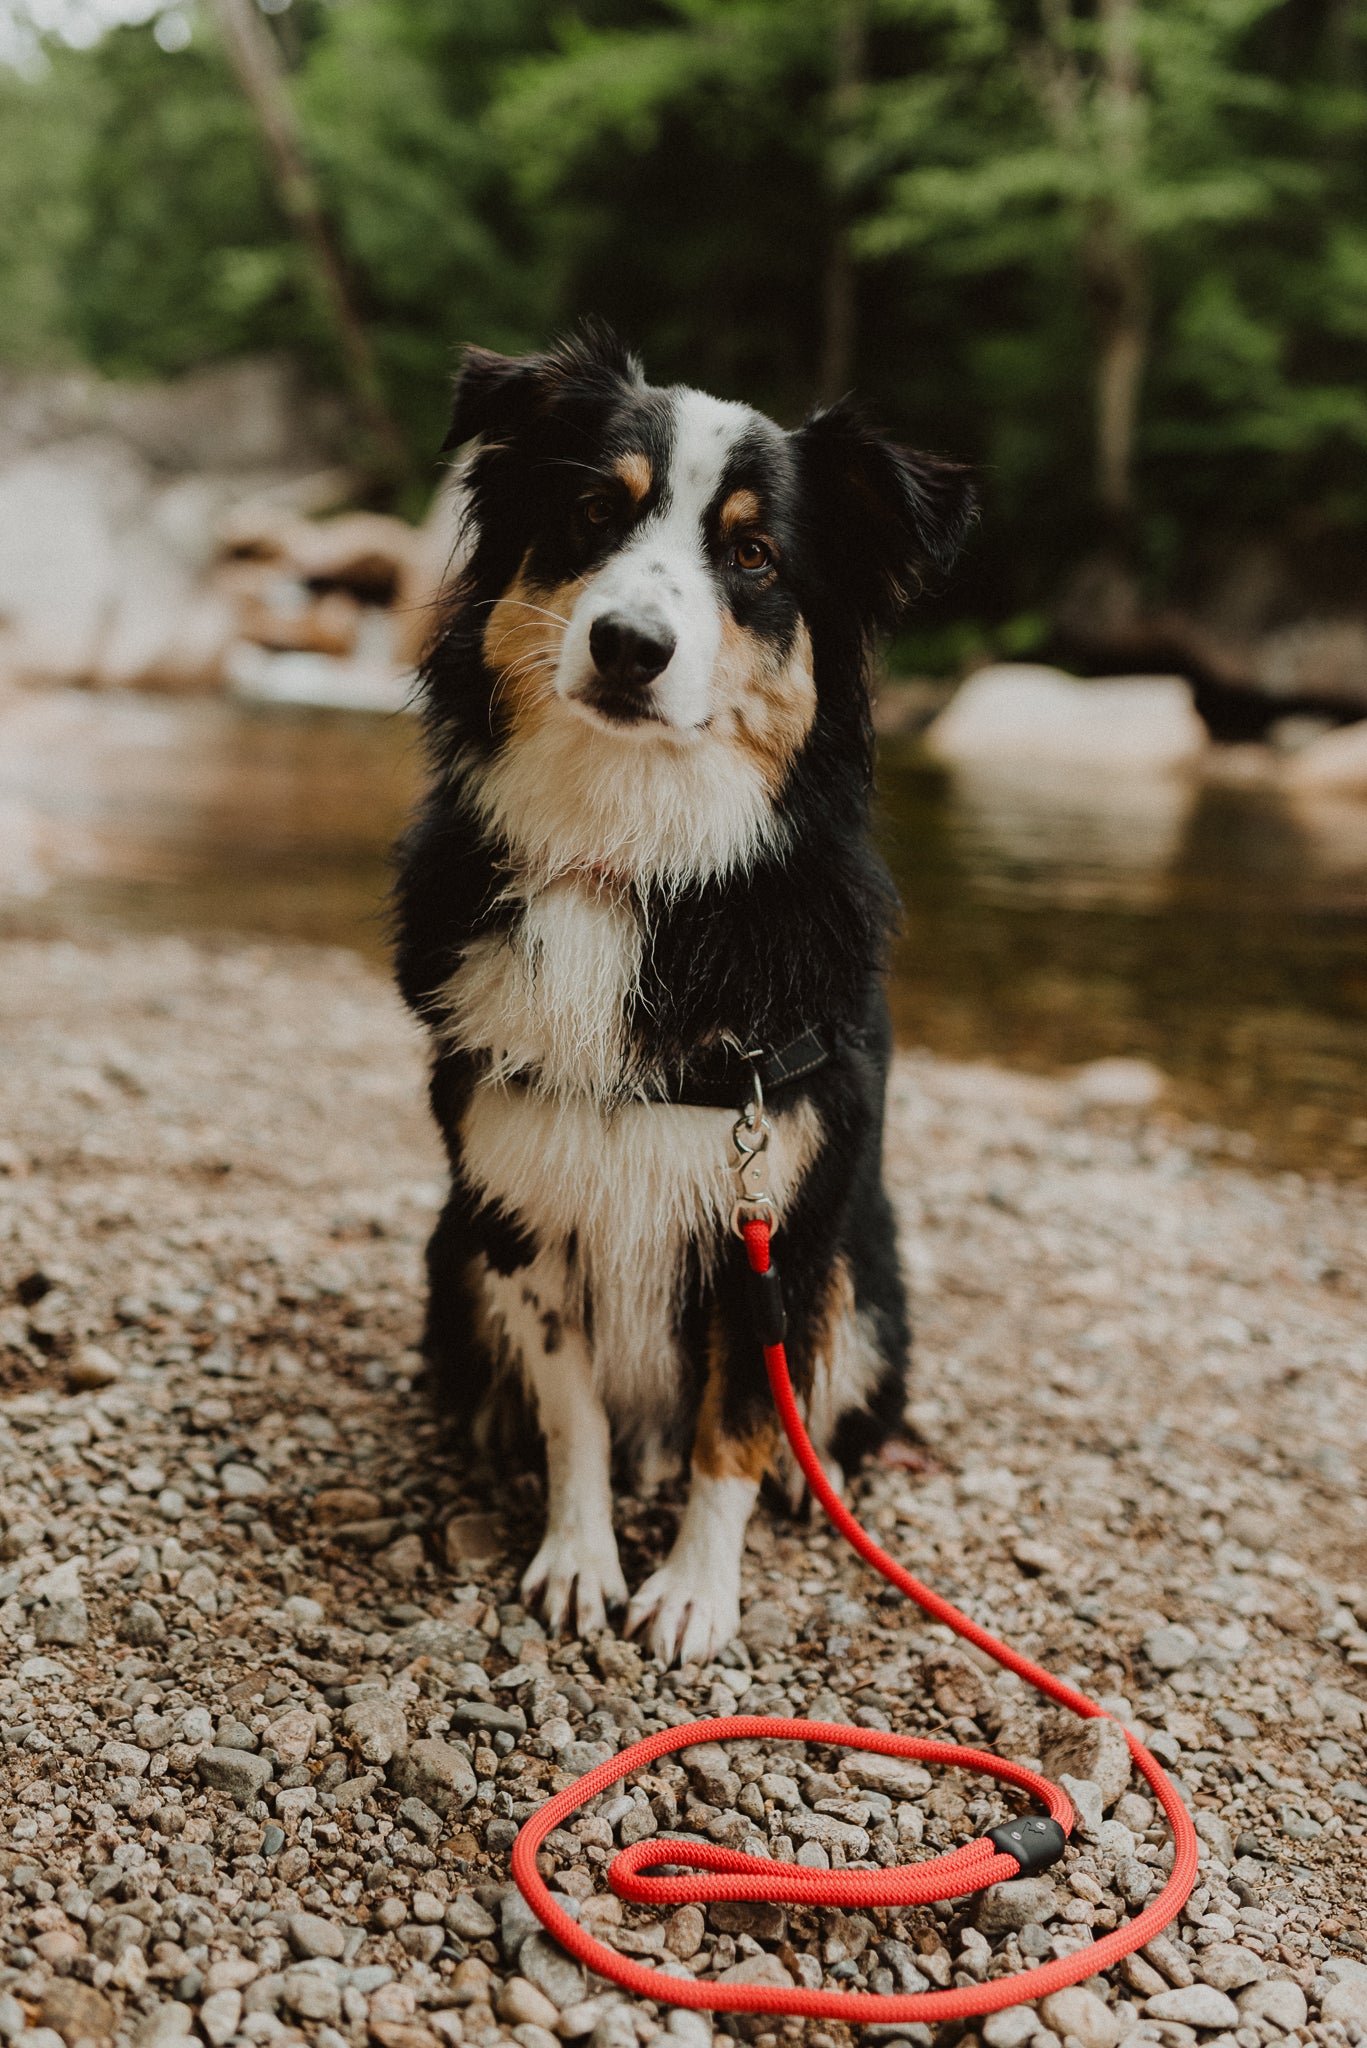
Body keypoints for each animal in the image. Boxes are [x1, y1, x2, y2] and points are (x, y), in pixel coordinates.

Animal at [395, 319, 971, 1662]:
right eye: (594, 514)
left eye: (752, 554)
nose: (627, 644)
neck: (632, 857)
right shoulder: (523, 1201)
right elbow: (574, 1409)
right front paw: (577, 1556)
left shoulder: (781, 1221)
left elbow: (737, 1422)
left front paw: (695, 1590)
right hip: (453, 1242)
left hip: (865, 1272)